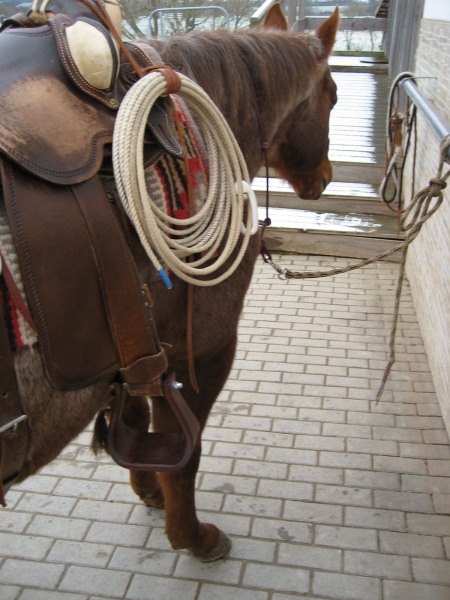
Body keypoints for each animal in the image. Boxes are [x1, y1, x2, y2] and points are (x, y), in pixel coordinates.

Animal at [7, 2, 338, 560]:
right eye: (333, 95)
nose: (327, 177)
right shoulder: (203, 347)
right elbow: (188, 451)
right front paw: (193, 537)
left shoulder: (143, 350)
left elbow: (139, 419)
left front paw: (148, 489)